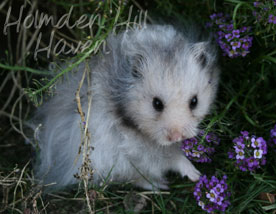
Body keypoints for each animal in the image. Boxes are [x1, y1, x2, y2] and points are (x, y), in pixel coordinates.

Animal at [31, 24, 220, 191]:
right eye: (156, 104)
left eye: (194, 101)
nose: (177, 136)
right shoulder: (146, 152)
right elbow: (175, 158)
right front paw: (196, 175)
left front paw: (196, 174)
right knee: (133, 179)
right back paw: (160, 186)